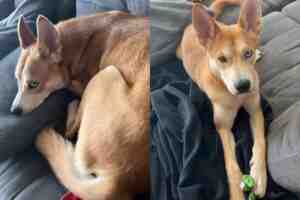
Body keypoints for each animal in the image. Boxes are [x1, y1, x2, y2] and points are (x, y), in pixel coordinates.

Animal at [12, 12, 149, 200]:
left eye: (33, 84)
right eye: (17, 79)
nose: (14, 111)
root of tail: (122, 177)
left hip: (104, 75)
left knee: (71, 131)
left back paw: (72, 106)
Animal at [177, 0, 266, 199]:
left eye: (247, 53)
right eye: (222, 59)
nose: (243, 85)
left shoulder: (255, 109)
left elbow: (260, 141)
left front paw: (259, 174)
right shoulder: (222, 127)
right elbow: (230, 165)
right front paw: (237, 193)